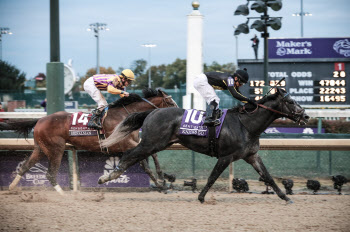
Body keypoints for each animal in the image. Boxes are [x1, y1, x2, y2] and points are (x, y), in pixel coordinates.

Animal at [1, 88, 178, 194]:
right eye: (170, 101)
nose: (179, 112)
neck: (125, 115)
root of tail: (40, 120)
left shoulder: (139, 142)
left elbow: (150, 158)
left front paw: (163, 179)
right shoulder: (121, 143)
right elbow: (147, 159)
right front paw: (162, 182)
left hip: (40, 148)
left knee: (25, 166)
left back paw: (11, 187)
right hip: (55, 149)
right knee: (50, 173)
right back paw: (64, 195)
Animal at [98, 87, 308, 203]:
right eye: (290, 101)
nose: (305, 116)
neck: (245, 124)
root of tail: (151, 112)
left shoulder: (252, 156)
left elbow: (268, 177)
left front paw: (286, 198)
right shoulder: (226, 156)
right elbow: (212, 177)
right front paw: (201, 197)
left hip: (156, 144)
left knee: (136, 158)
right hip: (151, 143)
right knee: (129, 155)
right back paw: (108, 177)